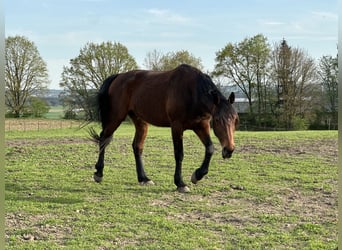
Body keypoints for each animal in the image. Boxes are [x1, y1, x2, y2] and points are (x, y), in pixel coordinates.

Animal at [89, 63, 239, 192]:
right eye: (218, 120)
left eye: (235, 120)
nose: (229, 150)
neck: (193, 92)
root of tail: (119, 76)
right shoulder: (177, 126)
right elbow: (179, 154)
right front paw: (180, 183)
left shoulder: (201, 125)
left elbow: (210, 148)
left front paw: (197, 175)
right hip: (116, 117)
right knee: (104, 139)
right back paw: (99, 173)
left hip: (141, 121)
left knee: (137, 147)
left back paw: (144, 178)